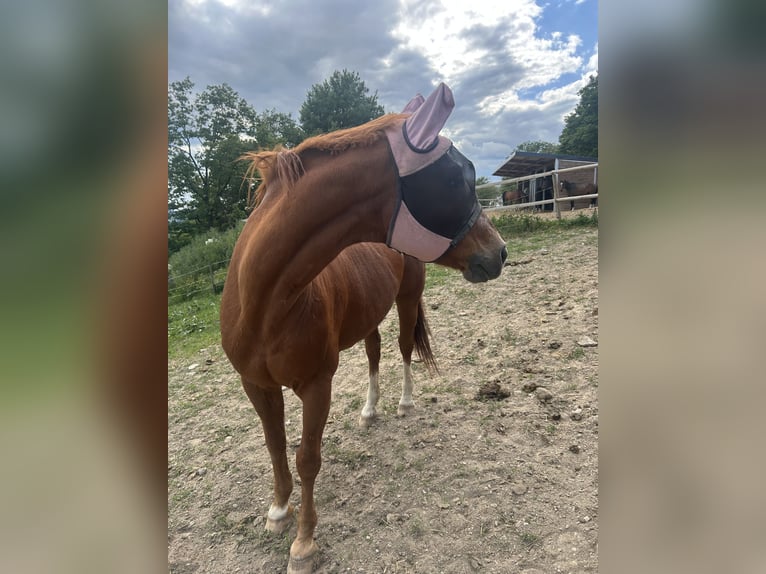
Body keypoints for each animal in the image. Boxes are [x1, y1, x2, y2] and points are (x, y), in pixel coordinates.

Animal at [220, 83, 506, 573]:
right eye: (455, 180)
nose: (500, 252)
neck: (267, 304)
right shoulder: (256, 385)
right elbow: (275, 446)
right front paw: (278, 512)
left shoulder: (317, 385)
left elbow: (308, 457)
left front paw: (304, 543)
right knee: (374, 353)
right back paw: (370, 410)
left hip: (406, 302)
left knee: (404, 349)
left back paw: (404, 404)